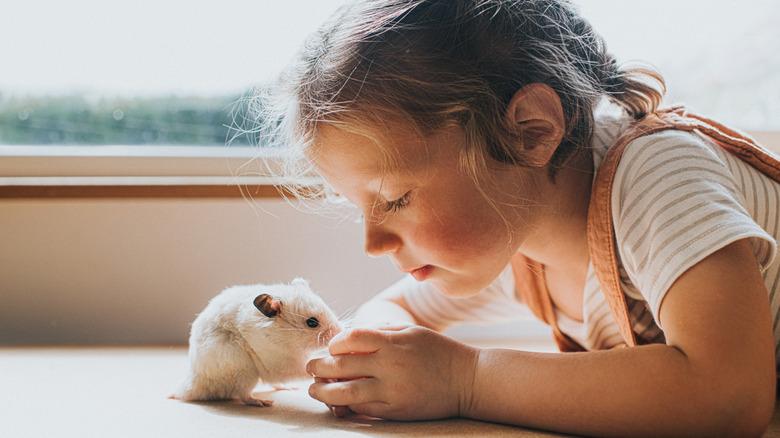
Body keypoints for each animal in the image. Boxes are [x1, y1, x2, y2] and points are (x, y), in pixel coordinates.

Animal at [172, 278, 342, 406]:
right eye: (312, 322)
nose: (338, 332)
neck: (286, 338)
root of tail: (194, 383)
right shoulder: (280, 363)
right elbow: (305, 368)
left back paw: (288, 388)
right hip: (243, 370)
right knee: (243, 395)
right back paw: (262, 402)